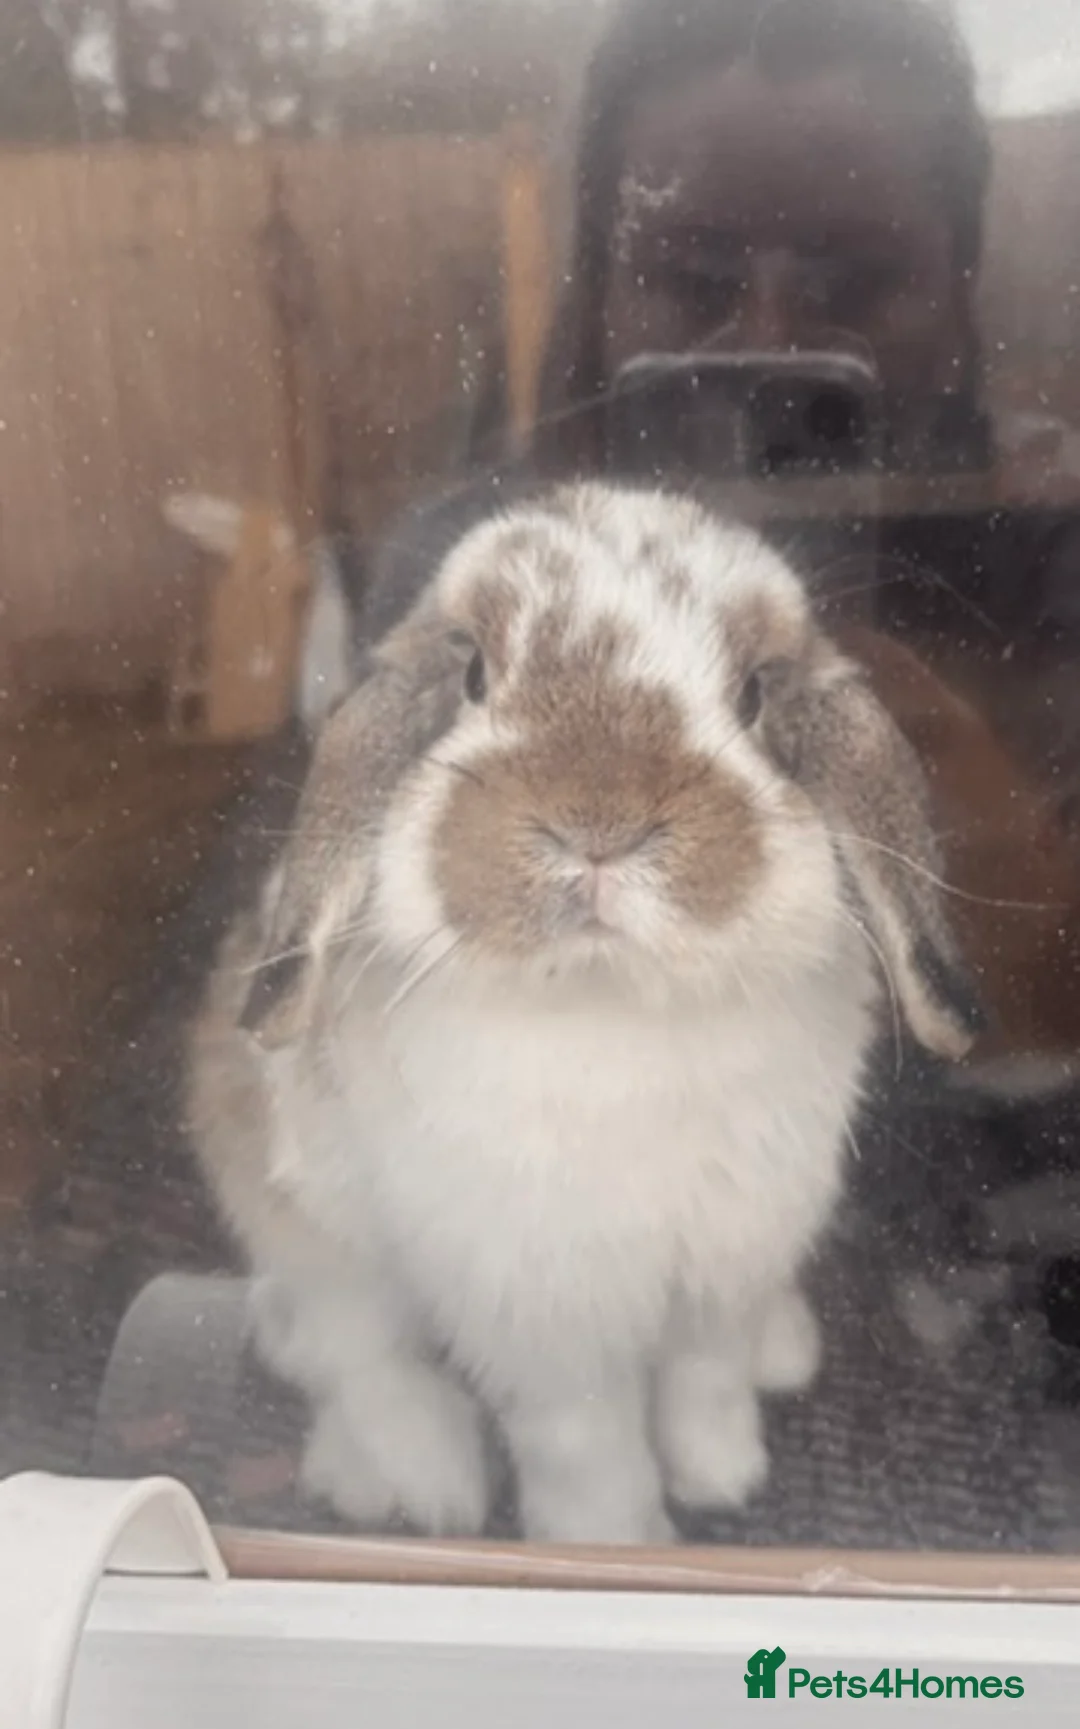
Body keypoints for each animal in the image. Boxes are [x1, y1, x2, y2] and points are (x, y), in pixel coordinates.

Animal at [187, 481, 980, 1546]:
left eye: (752, 695)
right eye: (474, 674)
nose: (599, 825)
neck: (615, 995)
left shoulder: (728, 1256)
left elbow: (706, 1380)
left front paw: (723, 1476)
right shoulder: (547, 1311)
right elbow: (586, 1439)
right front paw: (619, 1541)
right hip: (307, 1231)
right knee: (342, 1349)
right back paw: (418, 1481)